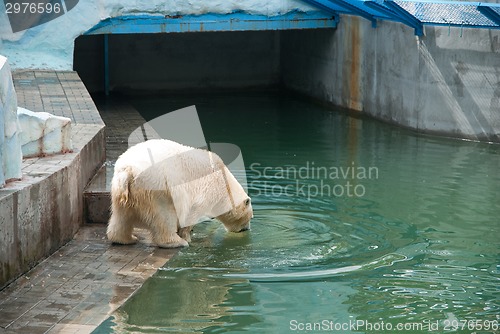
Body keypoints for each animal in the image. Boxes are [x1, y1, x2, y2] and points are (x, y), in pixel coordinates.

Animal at [107, 138, 252, 248]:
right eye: (250, 217)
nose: (247, 229)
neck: (224, 183)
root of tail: (128, 170)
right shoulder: (207, 189)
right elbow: (192, 212)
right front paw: (187, 237)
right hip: (157, 190)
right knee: (164, 216)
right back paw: (177, 242)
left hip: (122, 190)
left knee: (121, 216)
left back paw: (127, 239)